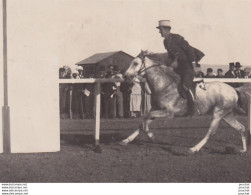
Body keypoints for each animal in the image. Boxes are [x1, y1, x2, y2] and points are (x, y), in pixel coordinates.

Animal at [120, 50, 248, 154]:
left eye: (135, 63)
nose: (125, 76)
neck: (164, 85)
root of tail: (234, 90)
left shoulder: (169, 113)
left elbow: (145, 118)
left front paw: (152, 136)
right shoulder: (156, 110)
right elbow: (142, 123)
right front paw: (125, 140)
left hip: (218, 113)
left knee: (211, 132)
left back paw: (193, 149)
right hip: (226, 115)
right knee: (241, 128)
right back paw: (243, 149)